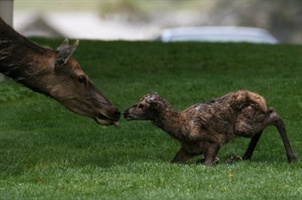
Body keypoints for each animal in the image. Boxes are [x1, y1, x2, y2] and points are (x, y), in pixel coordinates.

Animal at [123, 90, 298, 166]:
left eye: (141, 105)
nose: (125, 112)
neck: (181, 128)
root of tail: (258, 97)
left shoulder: (214, 141)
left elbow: (208, 163)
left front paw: (219, 161)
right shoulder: (188, 149)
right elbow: (173, 162)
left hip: (241, 126)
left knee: (274, 115)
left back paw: (292, 158)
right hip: (248, 121)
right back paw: (244, 156)